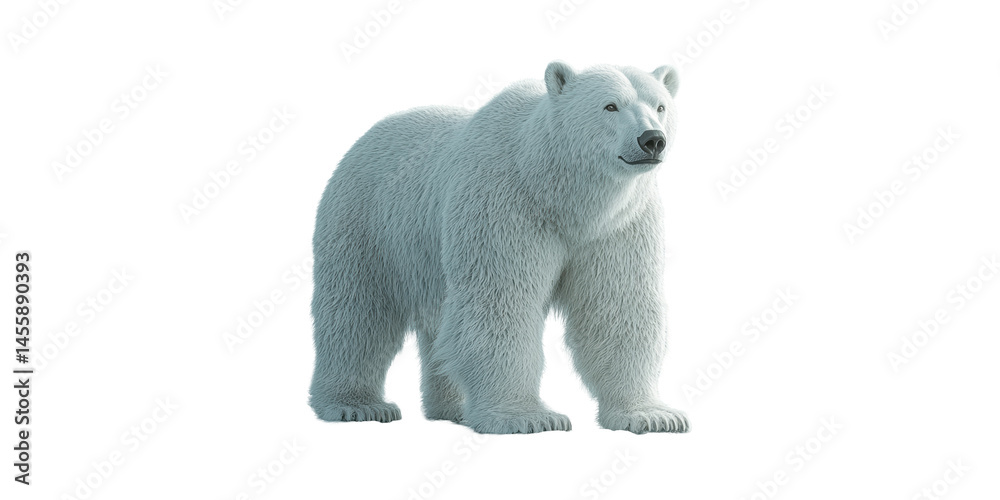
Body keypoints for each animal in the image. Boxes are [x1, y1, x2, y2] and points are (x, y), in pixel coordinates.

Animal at [309, 61, 688, 434]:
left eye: (660, 106)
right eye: (610, 106)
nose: (652, 140)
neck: (557, 193)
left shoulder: (618, 226)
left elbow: (618, 305)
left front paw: (653, 415)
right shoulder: (503, 206)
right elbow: (501, 301)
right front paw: (528, 417)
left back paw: (455, 408)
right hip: (366, 222)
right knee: (358, 311)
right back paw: (357, 405)